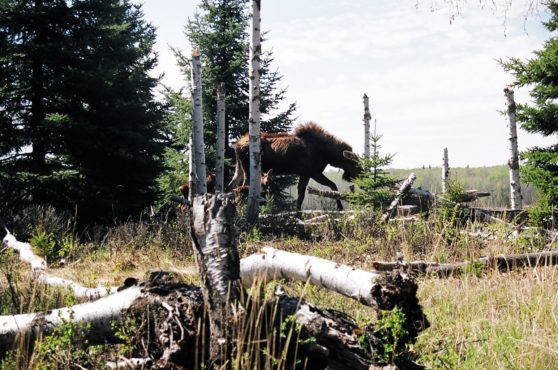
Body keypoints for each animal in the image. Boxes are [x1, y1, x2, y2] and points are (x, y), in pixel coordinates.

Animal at [229, 122, 364, 211]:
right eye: (356, 164)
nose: (363, 182)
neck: (328, 155)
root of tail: (236, 145)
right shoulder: (313, 172)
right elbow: (333, 186)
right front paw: (340, 207)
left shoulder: (305, 173)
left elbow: (301, 195)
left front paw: (297, 213)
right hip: (248, 170)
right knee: (243, 187)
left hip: (239, 169)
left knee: (231, 186)